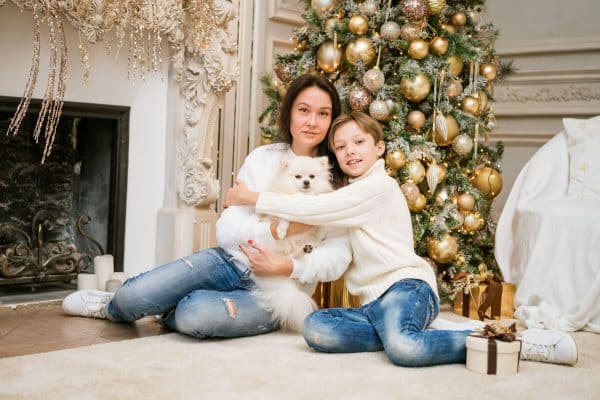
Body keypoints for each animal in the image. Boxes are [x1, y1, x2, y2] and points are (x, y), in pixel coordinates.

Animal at [250, 155, 332, 332]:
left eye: (312, 176)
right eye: (298, 177)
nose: (306, 182)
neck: (303, 196)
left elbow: (321, 225)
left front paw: (322, 230)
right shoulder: (281, 208)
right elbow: (285, 217)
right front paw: (281, 230)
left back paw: (306, 248)